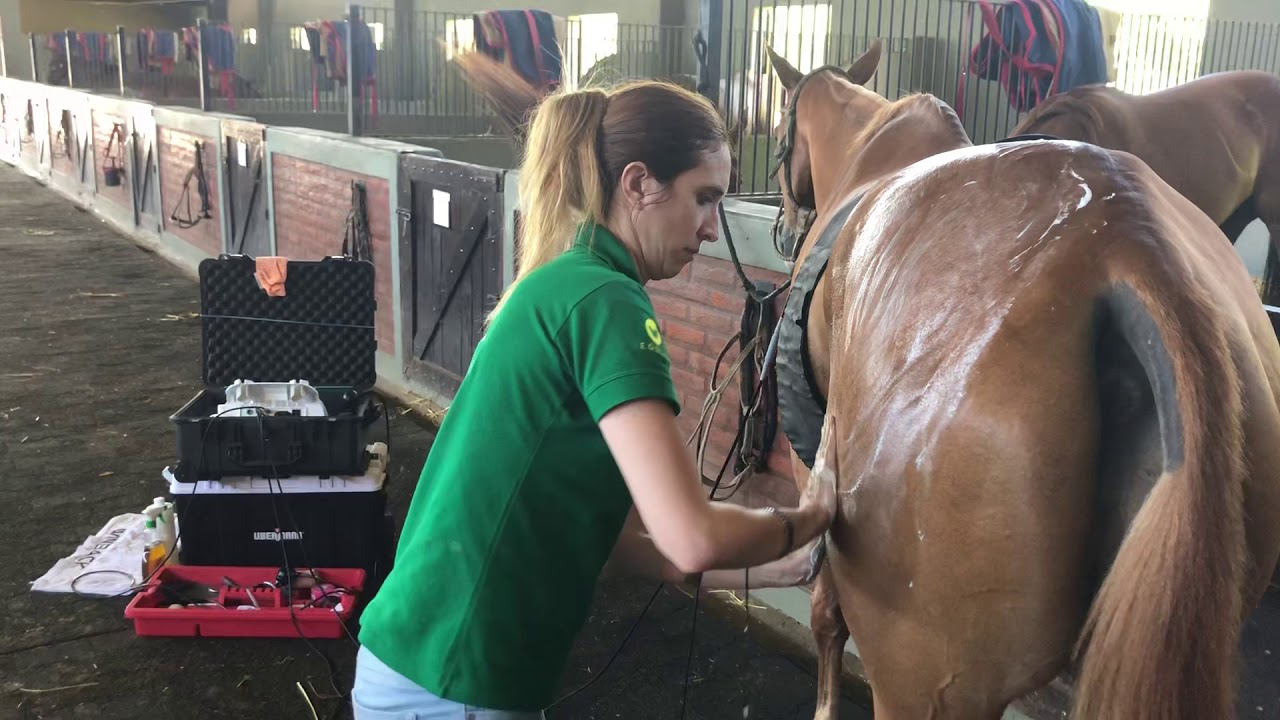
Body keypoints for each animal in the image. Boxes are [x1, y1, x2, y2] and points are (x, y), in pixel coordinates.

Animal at [764, 39, 1280, 720]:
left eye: (779, 132)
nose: (781, 229)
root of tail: (1131, 246)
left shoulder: (811, 480)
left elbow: (826, 617)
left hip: (923, 681)